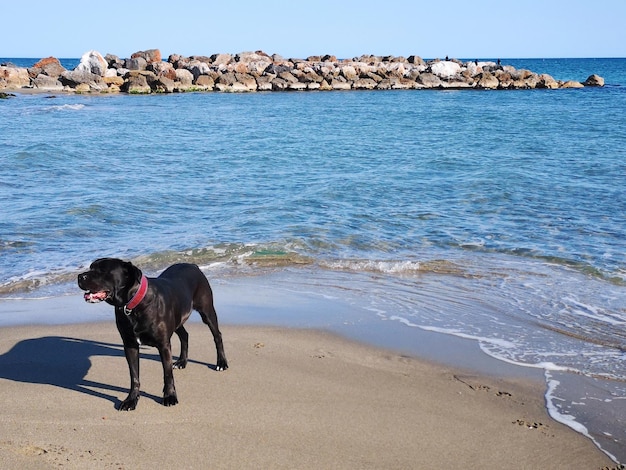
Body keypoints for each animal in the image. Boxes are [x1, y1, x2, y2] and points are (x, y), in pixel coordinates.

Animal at [76, 258, 227, 410]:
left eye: (103, 270)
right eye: (91, 267)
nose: (79, 276)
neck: (133, 305)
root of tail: (193, 265)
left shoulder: (164, 345)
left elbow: (167, 373)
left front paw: (170, 396)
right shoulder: (130, 345)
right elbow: (134, 375)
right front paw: (131, 399)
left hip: (207, 310)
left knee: (217, 335)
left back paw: (221, 362)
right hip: (178, 318)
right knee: (184, 335)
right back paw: (182, 361)